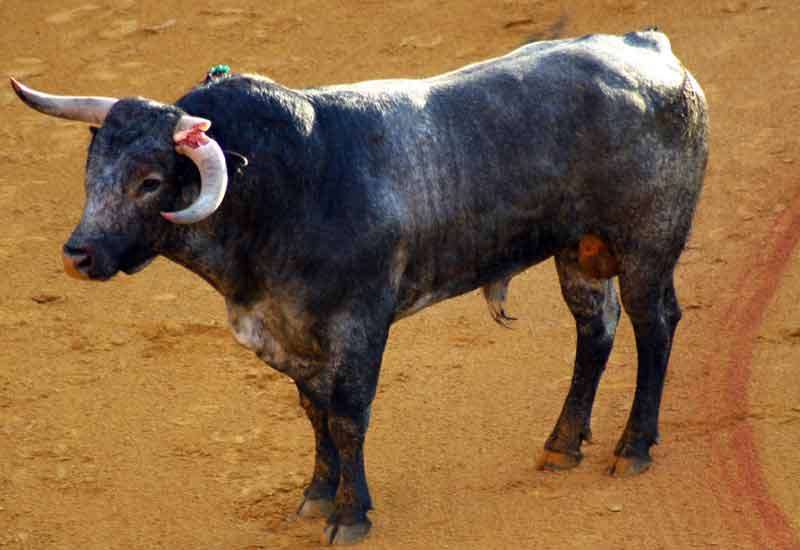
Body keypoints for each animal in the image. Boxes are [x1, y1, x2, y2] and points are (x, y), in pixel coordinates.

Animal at [12, 31, 708, 548]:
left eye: (151, 182)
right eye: (92, 169)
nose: (78, 255)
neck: (282, 188)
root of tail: (653, 49)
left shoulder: (359, 324)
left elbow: (348, 416)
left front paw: (351, 514)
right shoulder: (287, 331)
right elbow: (313, 410)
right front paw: (316, 496)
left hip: (648, 244)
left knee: (654, 324)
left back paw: (633, 447)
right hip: (580, 252)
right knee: (595, 330)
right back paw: (563, 444)